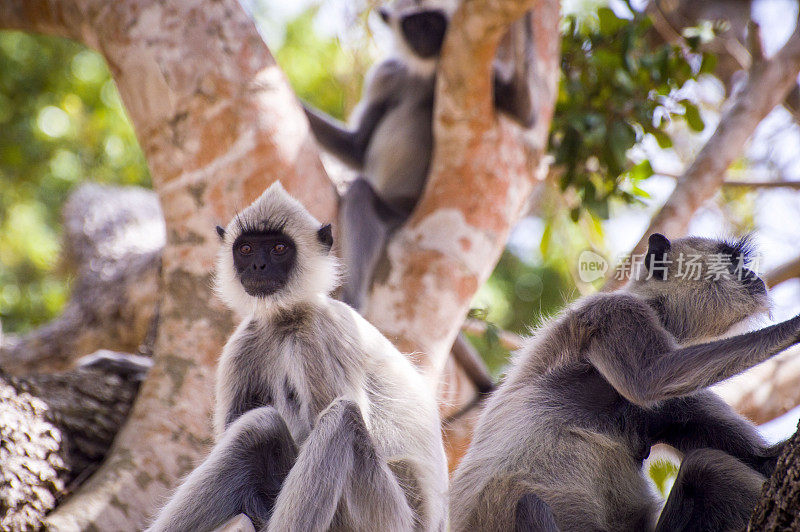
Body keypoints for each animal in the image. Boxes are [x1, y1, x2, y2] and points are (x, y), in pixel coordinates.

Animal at [148, 184, 450, 532]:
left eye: (279, 248)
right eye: (246, 249)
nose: (258, 267)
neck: (285, 319)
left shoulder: (318, 330)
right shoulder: (247, 338)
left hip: (384, 517)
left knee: (339, 418)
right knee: (258, 431)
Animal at [304, 0, 536, 310]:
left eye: (433, 21)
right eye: (413, 25)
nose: (425, 38)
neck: (426, 72)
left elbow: (525, 113)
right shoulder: (386, 76)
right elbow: (358, 147)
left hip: (401, 211)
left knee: (361, 194)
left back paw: (353, 299)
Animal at [450, 234, 800, 532]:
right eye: (733, 261)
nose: (752, 274)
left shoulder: (675, 406)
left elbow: (764, 460)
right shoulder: (612, 313)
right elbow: (650, 378)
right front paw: (795, 326)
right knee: (708, 468)